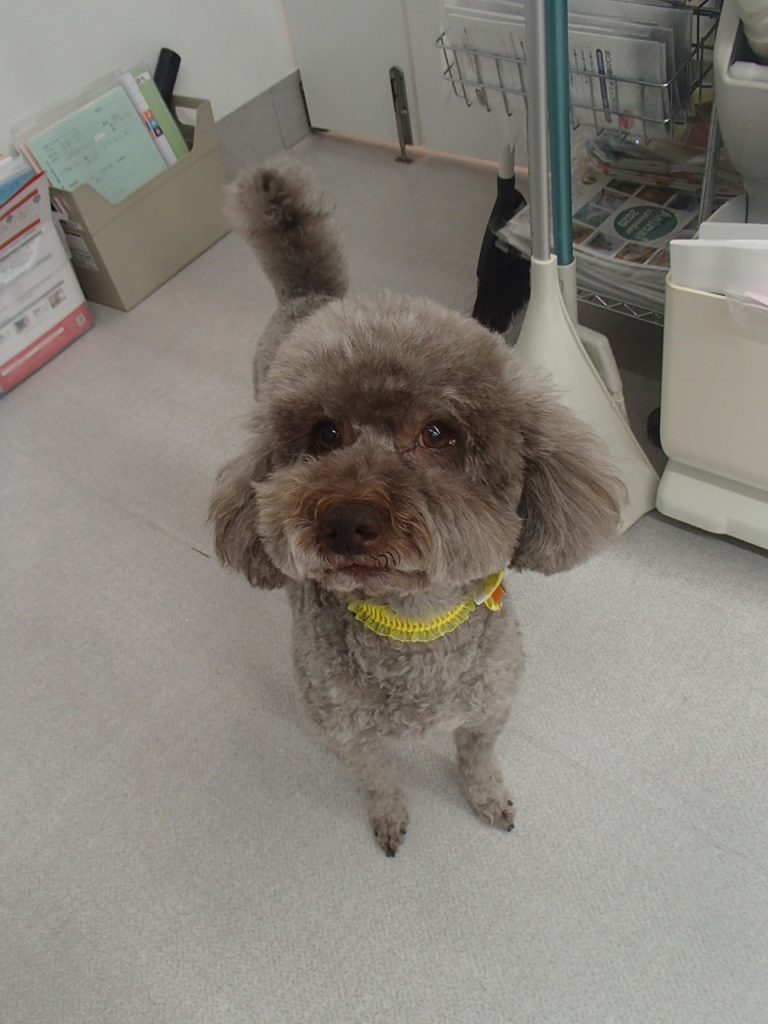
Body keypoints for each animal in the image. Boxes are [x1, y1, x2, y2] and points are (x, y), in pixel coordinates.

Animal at [210, 157, 624, 856]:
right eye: (324, 433)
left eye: (438, 433)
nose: (346, 521)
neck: (412, 624)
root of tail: (308, 299)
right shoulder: (347, 733)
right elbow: (379, 781)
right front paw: (389, 819)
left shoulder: (489, 709)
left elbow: (478, 760)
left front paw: (489, 800)